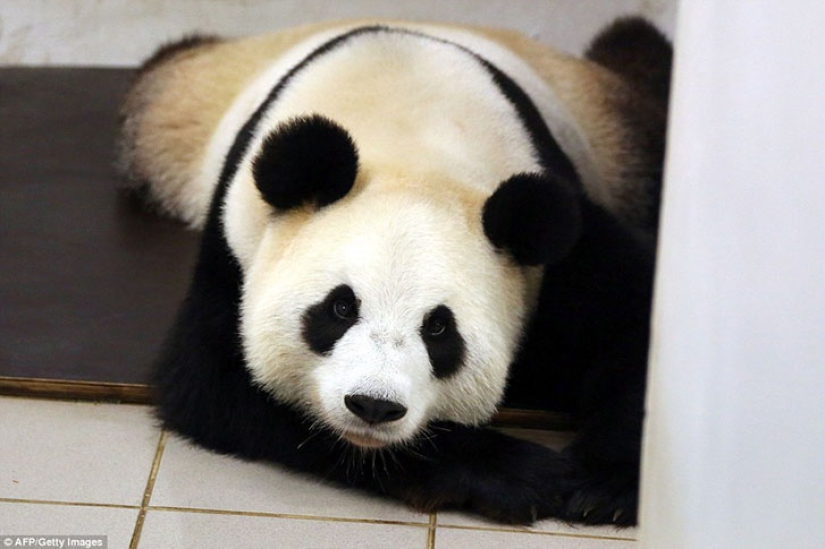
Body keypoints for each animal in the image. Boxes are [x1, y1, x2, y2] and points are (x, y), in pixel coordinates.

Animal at [118, 17, 671, 526]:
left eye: (439, 328)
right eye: (340, 307)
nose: (373, 406)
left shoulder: (556, 245)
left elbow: (634, 318)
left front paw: (605, 483)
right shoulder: (237, 245)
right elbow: (215, 383)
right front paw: (517, 475)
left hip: (607, 126)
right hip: (177, 122)